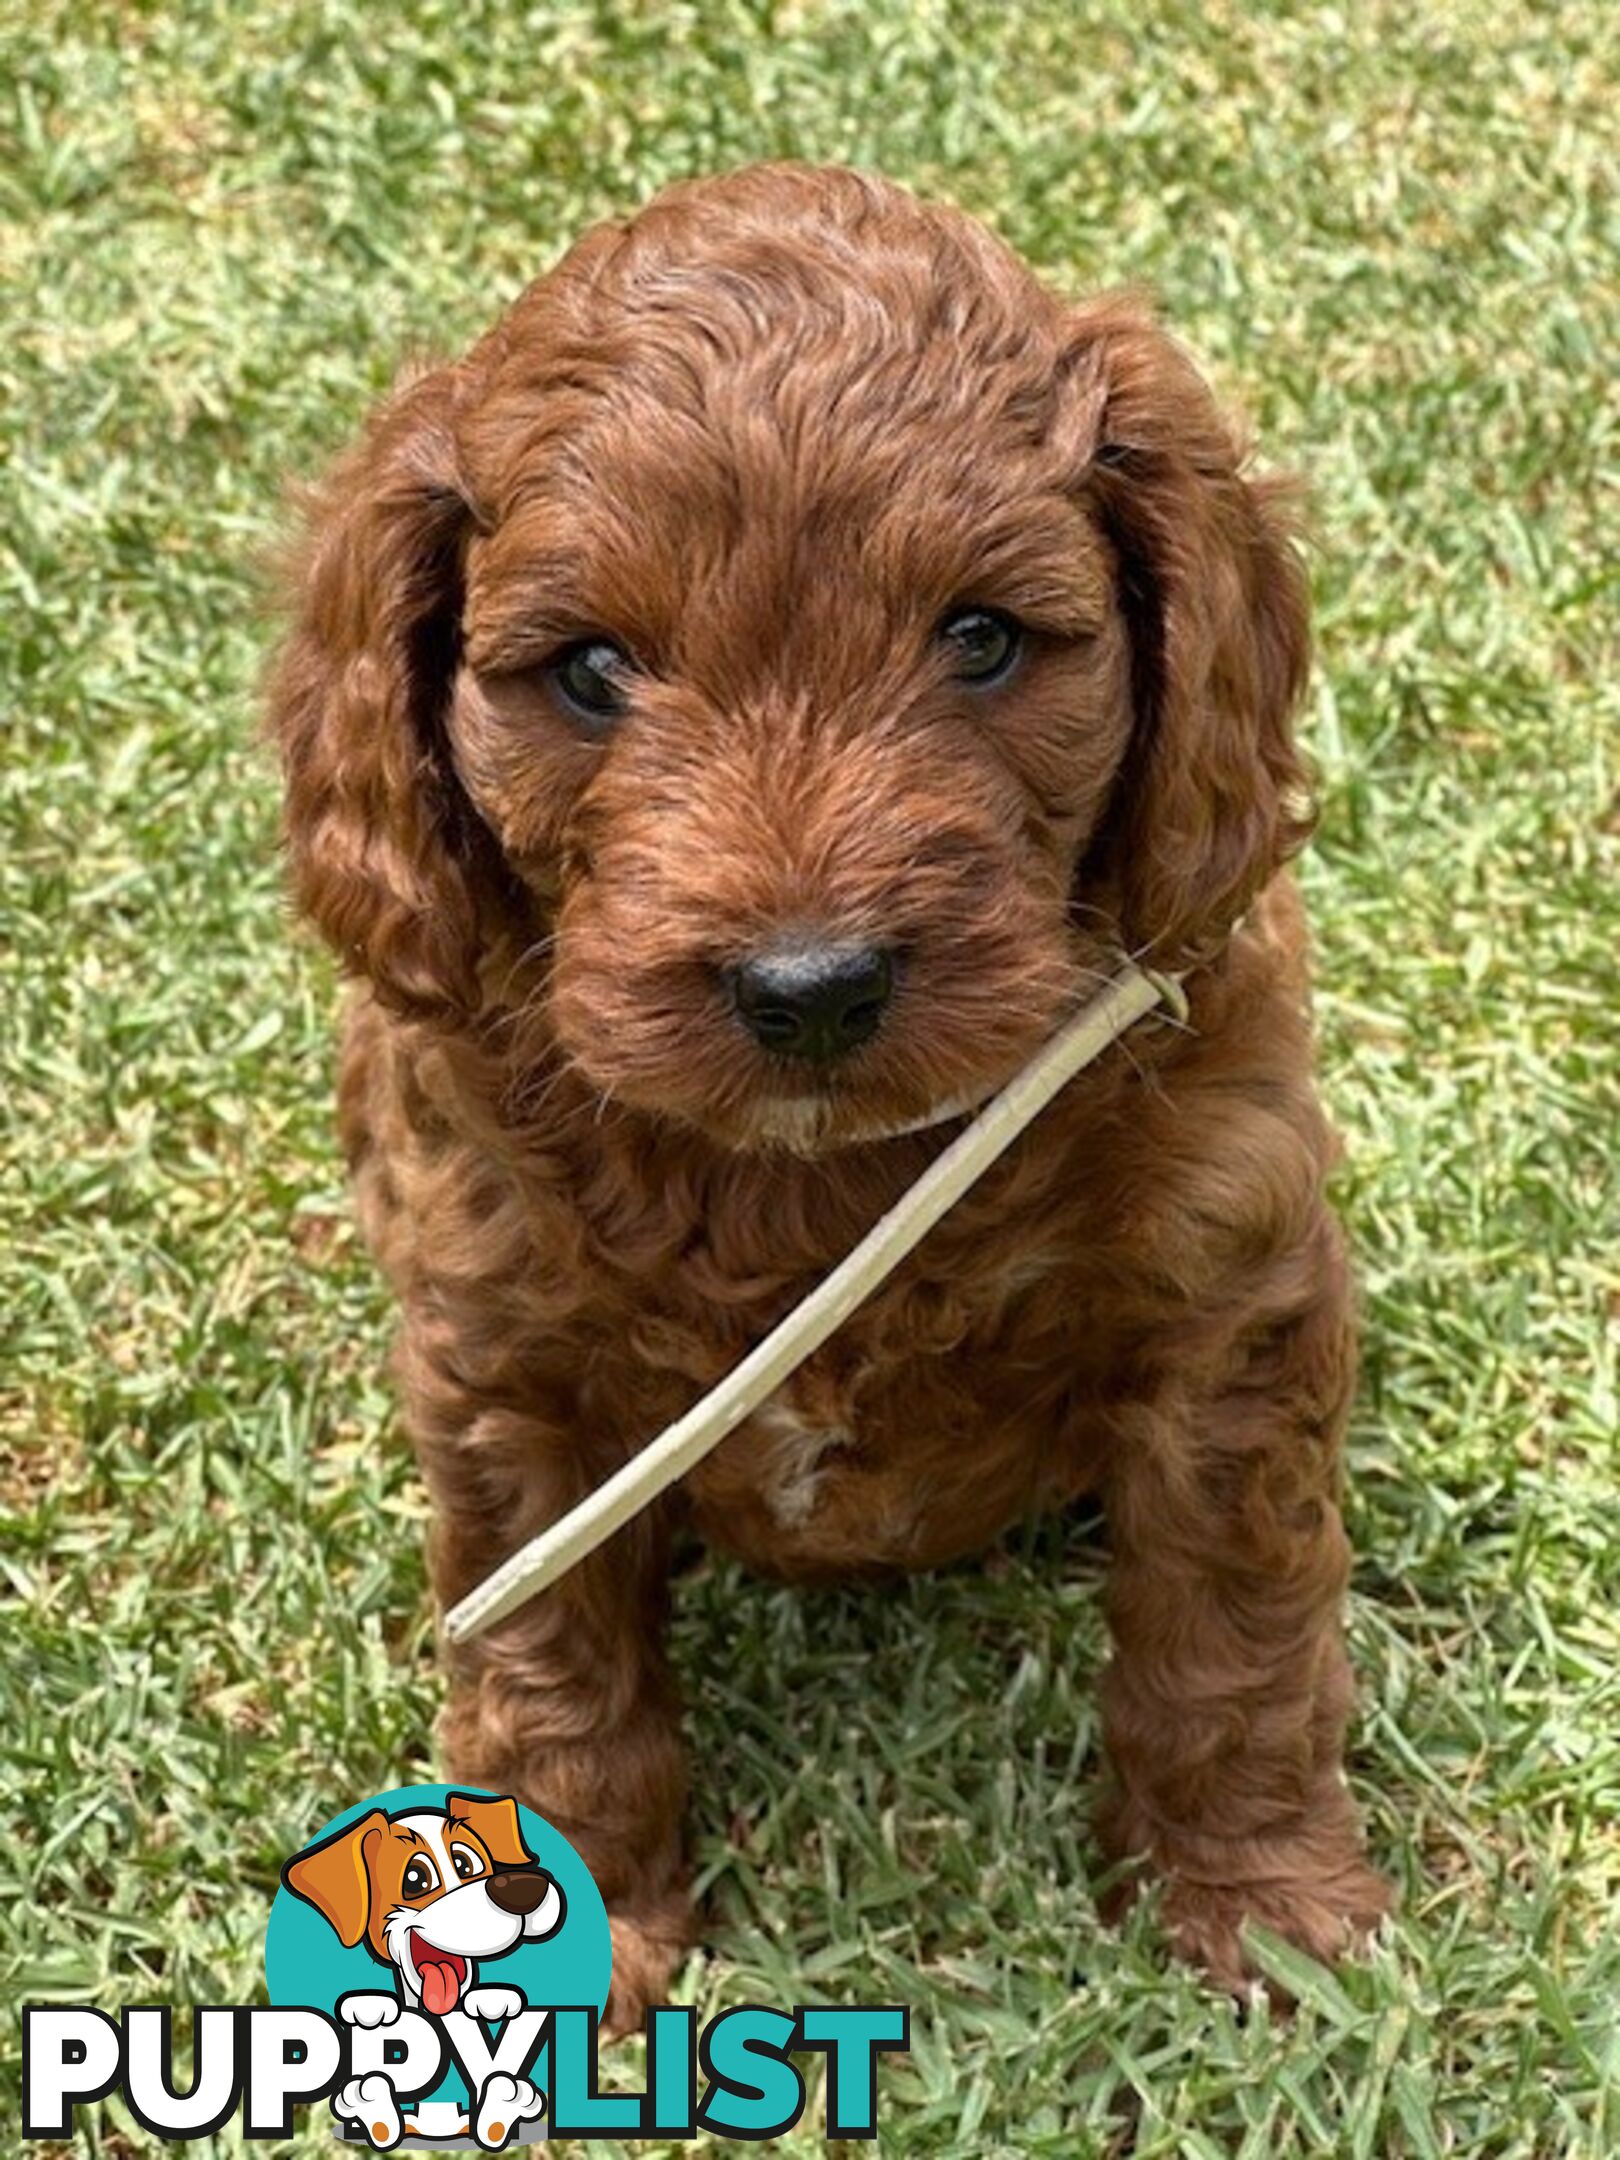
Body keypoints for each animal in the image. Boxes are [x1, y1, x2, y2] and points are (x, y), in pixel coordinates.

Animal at [270, 159, 1399, 2013]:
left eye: (985, 639)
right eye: (590, 670)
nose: (810, 987)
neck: (810, 1181)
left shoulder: (1230, 1296)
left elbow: (1229, 1628)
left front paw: (1258, 1903)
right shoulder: (505, 1358)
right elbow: (552, 1672)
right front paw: (577, 1931)